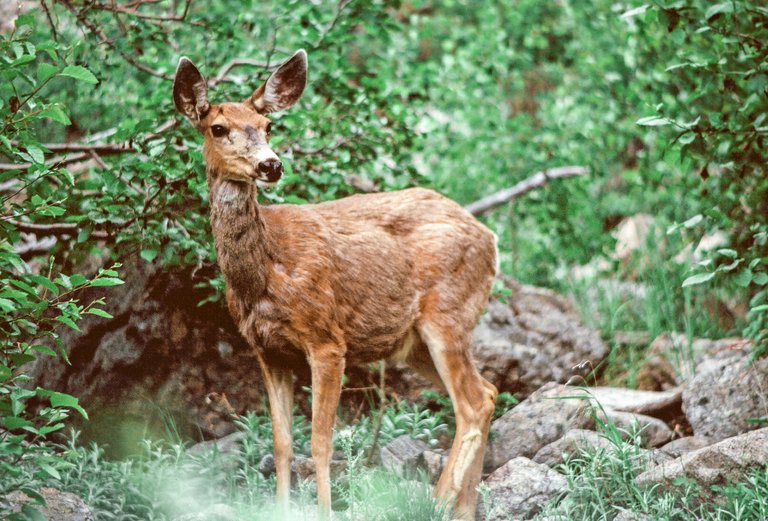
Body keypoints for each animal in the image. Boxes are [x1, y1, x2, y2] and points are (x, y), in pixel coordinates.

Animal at [172, 49, 498, 520]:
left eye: (268, 126)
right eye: (218, 128)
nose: (271, 165)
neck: (265, 272)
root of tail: (491, 240)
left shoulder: (326, 340)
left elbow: (320, 443)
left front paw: (323, 509)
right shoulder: (267, 350)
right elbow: (282, 443)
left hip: (447, 315)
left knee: (473, 404)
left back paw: (435, 503)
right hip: (415, 343)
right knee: (487, 393)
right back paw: (463, 508)